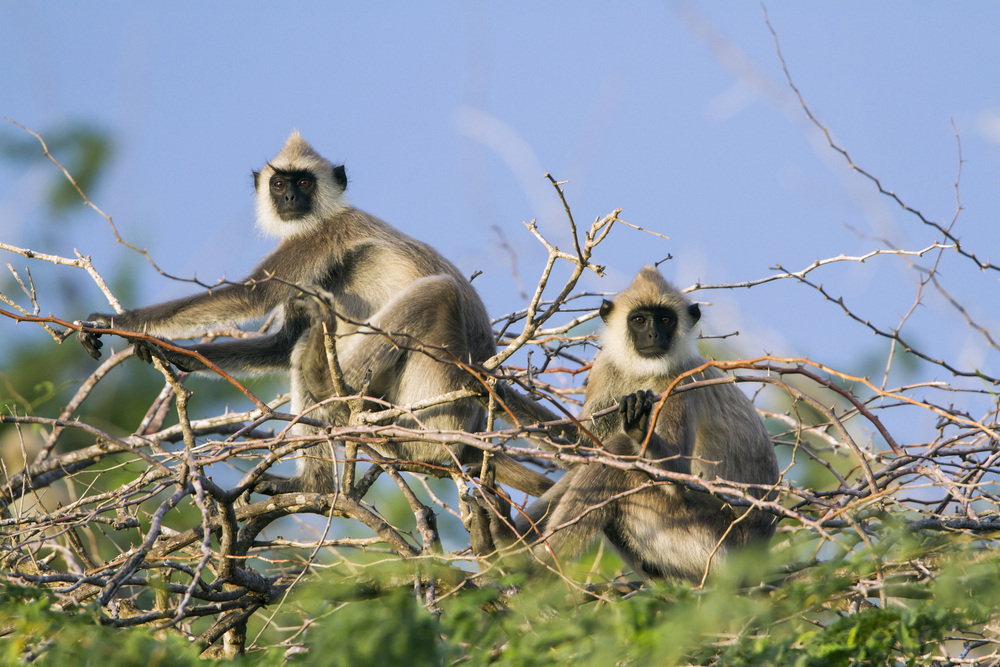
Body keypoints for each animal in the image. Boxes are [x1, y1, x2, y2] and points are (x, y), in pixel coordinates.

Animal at [79, 130, 556, 498]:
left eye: (305, 182)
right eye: (280, 184)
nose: (290, 196)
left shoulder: (317, 238)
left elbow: (251, 297)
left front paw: (118, 323)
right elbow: (283, 341)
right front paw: (174, 352)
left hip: (431, 404)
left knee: (435, 291)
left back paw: (330, 394)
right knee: (304, 343)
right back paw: (314, 484)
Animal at [468, 268, 780, 580]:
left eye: (665, 319)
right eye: (639, 320)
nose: (654, 334)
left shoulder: (679, 381)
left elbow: (675, 475)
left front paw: (641, 428)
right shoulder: (605, 367)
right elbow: (582, 446)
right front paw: (491, 391)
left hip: (705, 540)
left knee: (619, 451)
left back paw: (526, 563)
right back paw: (498, 542)